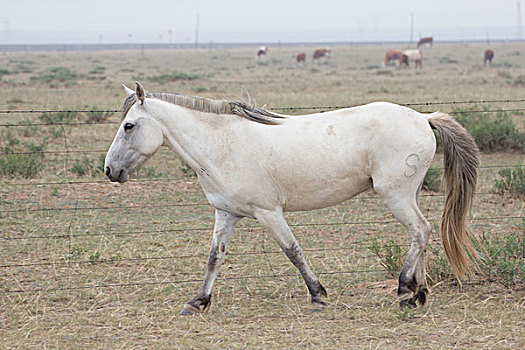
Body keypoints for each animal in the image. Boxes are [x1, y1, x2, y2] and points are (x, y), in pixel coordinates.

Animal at [105, 82, 478, 314]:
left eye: (128, 126)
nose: (110, 170)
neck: (222, 145)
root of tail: (423, 118)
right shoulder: (226, 214)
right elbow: (214, 258)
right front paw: (197, 302)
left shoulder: (269, 212)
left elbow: (293, 251)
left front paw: (318, 296)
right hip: (407, 195)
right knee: (422, 233)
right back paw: (419, 293)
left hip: (395, 196)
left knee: (420, 231)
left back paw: (405, 291)